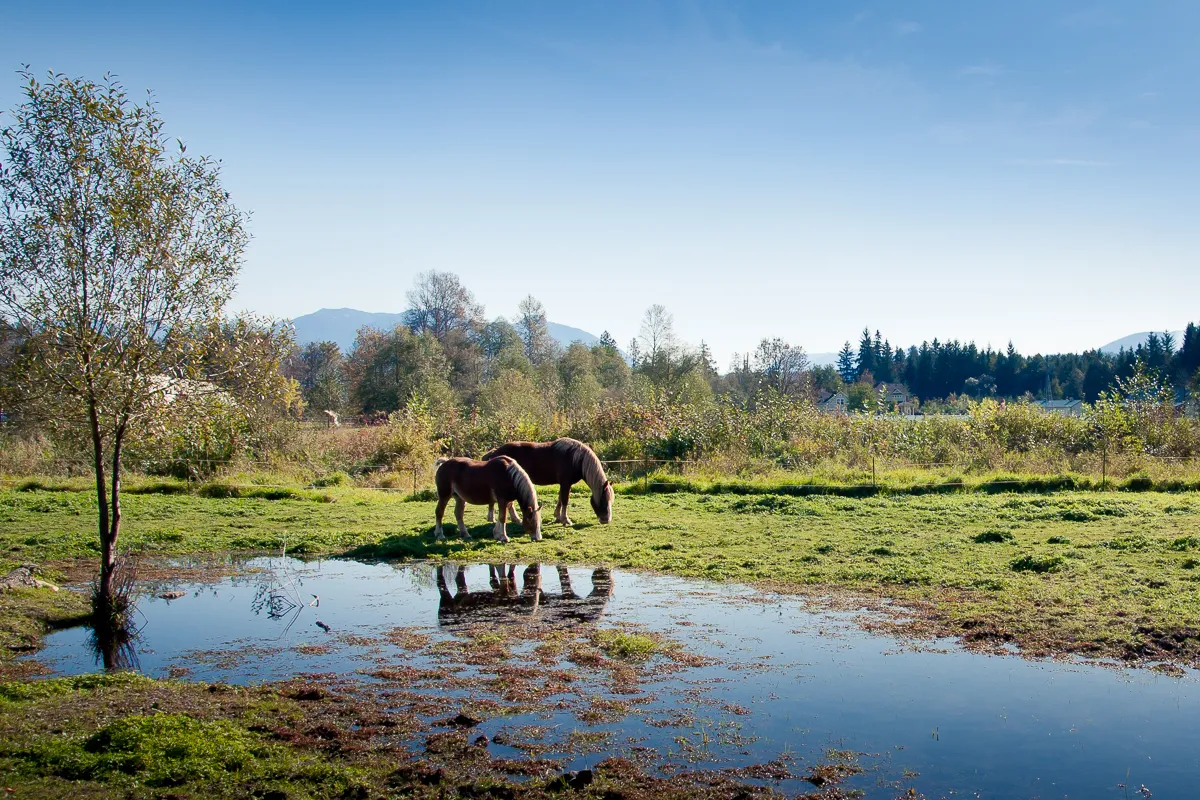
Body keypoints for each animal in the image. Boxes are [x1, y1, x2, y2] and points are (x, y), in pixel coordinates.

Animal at [482, 438, 614, 526]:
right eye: (603, 499)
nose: (606, 520)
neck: (576, 458)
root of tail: (495, 453)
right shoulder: (566, 483)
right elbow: (565, 500)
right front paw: (566, 520)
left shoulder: (563, 484)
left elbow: (560, 499)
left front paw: (557, 516)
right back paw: (514, 518)